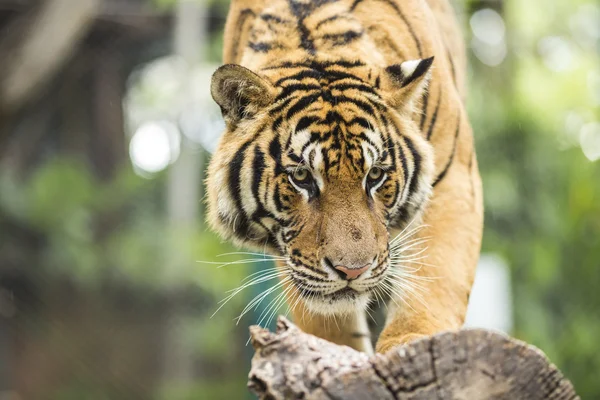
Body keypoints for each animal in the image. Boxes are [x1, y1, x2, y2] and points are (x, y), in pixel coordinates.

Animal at [206, 0, 482, 354]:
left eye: (375, 174)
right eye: (301, 177)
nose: (353, 270)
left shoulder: (454, 174)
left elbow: (435, 275)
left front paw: (410, 341)